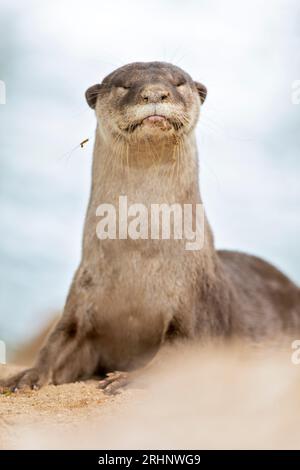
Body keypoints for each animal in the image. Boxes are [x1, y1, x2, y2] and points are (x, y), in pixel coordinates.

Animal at [1, 62, 298, 392]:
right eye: (125, 85)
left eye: (178, 83)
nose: (155, 93)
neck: (139, 256)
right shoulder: (79, 306)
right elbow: (55, 344)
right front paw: (27, 375)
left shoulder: (197, 313)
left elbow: (174, 356)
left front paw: (128, 378)